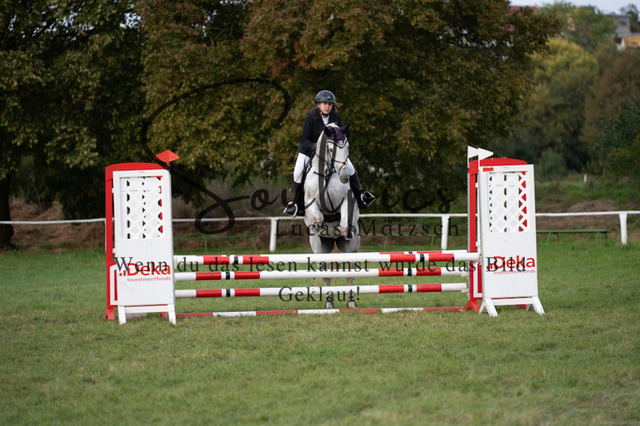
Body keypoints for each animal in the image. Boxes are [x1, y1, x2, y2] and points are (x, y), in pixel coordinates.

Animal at [303, 123, 360, 309]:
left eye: (347, 146)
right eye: (329, 149)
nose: (344, 177)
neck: (327, 173)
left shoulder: (346, 201)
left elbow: (343, 222)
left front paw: (344, 231)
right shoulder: (310, 202)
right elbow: (319, 217)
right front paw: (321, 228)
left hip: (352, 249)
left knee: (350, 273)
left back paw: (351, 302)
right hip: (320, 250)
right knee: (326, 274)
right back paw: (329, 302)